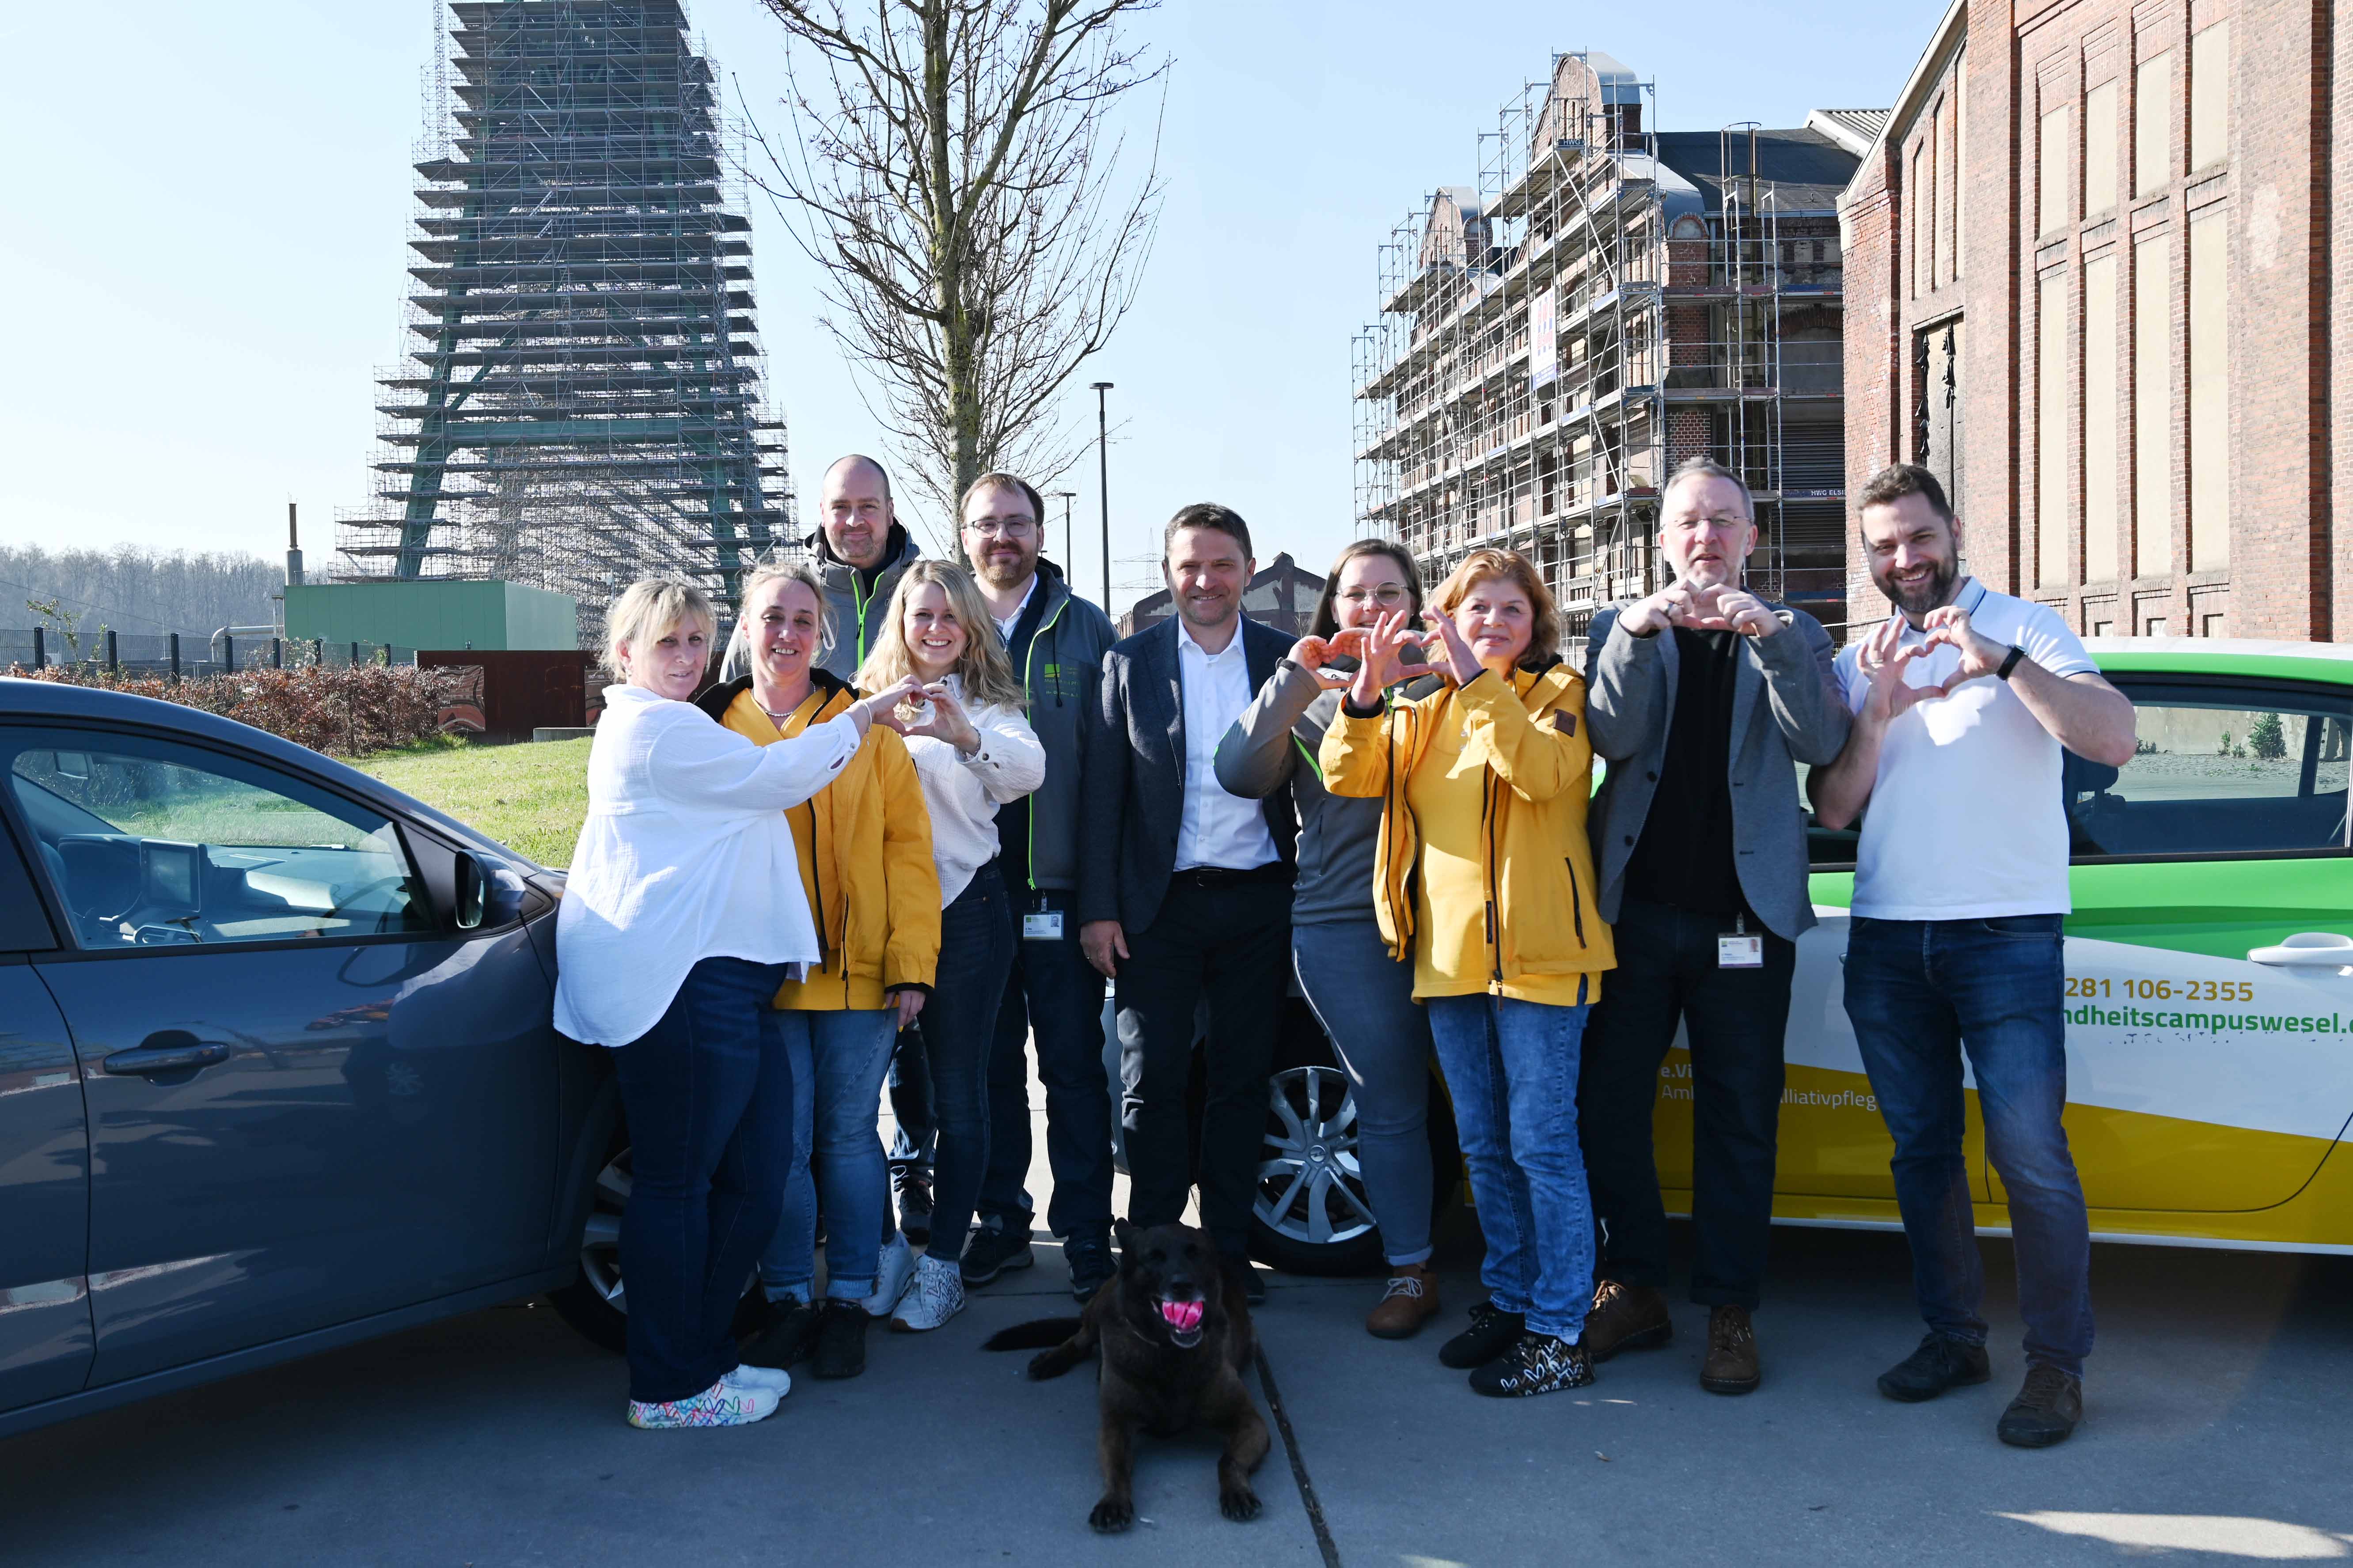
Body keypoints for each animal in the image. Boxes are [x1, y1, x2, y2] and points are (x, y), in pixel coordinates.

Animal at [983, 1220, 1270, 1532]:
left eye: (1196, 1254)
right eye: (1154, 1257)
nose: (1183, 1285)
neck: (1168, 1351)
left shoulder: (1250, 1422)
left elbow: (1228, 1461)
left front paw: (1237, 1491)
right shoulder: (1115, 1425)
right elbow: (1118, 1468)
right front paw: (1113, 1501)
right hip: (1100, 1304)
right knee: (1081, 1339)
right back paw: (1053, 1360)